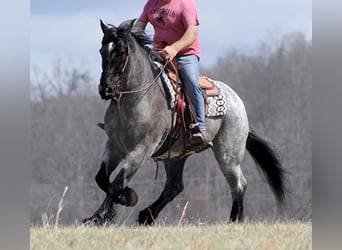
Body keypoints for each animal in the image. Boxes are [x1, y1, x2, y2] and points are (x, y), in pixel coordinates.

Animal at [82, 20, 286, 226]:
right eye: (102, 50)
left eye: (121, 51)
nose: (105, 89)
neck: (135, 99)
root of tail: (237, 102)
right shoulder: (114, 146)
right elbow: (102, 178)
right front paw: (103, 213)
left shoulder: (140, 149)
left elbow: (118, 182)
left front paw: (117, 204)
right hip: (176, 156)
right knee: (174, 187)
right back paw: (147, 215)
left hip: (228, 154)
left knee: (239, 185)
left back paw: (235, 219)